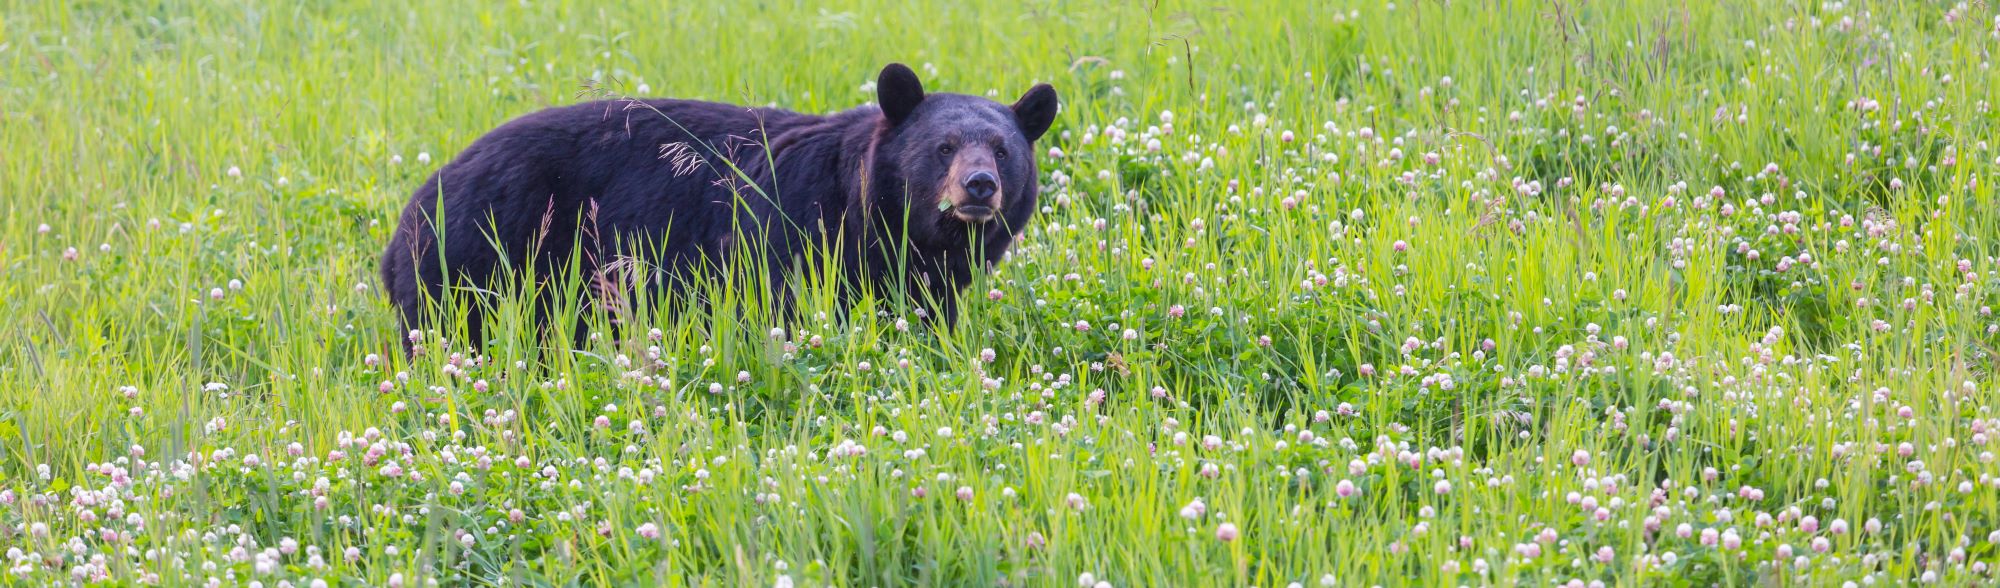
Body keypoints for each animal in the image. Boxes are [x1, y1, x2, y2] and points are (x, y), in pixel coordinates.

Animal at [380, 63, 1056, 350]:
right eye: (943, 148)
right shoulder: (791, 234)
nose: (979, 186)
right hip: (479, 256)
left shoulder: (925, 278)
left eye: (1002, 150)